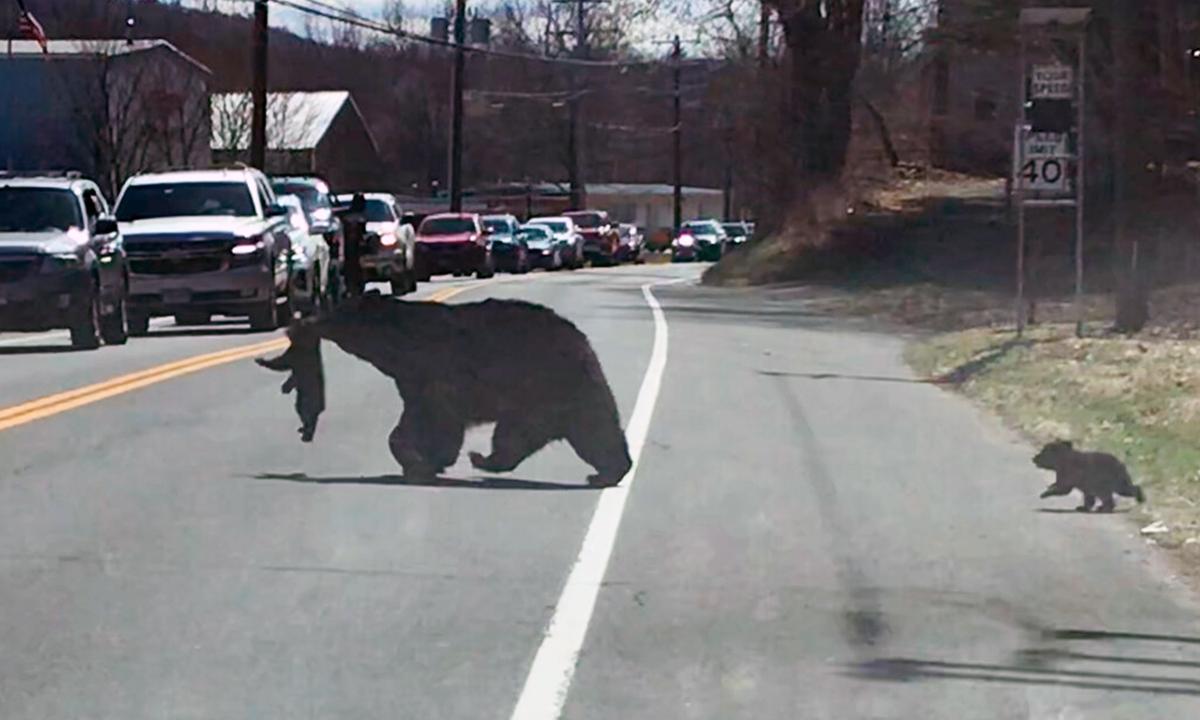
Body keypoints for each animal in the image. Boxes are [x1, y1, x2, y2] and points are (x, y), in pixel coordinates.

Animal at [257, 294, 633, 487]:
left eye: (339, 313)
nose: (306, 321)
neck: (399, 344)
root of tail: (585, 346)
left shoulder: (434, 372)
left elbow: (434, 419)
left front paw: (423, 460)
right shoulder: (413, 379)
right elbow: (417, 419)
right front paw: (427, 460)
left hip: (546, 388)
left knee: (574, 431)